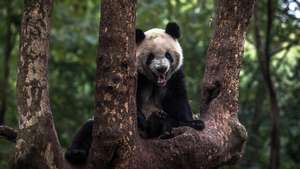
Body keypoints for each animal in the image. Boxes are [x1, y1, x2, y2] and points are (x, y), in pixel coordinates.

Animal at [65, 22, 205, 164]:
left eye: (168, 55)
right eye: (151, 57)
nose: (161, 68)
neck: (155, 82)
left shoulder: (174, 77)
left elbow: (177, 100)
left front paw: (193, 123)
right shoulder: (136, 77)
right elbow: (131, 103)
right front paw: (141, 119)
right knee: (87, 129)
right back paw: (76, 153)